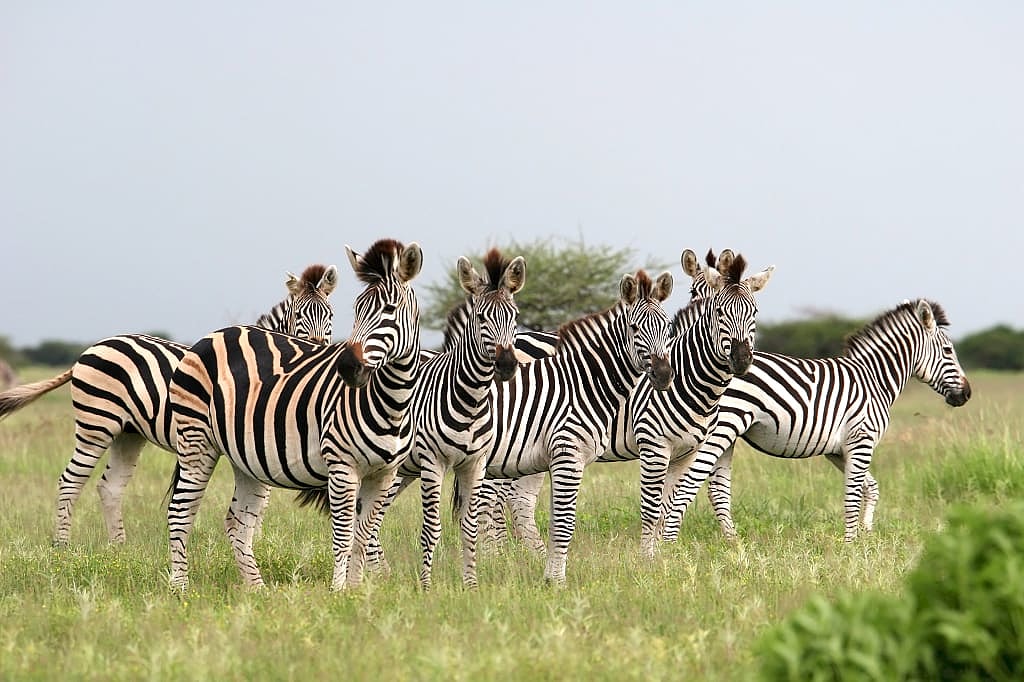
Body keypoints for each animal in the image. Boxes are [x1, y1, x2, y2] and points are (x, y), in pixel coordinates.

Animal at [0, 263, 338, 546]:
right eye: (299, 315)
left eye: (330, 316)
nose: (318, 345)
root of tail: (92, 348)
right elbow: (259, 501)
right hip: (96, 424)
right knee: (70, 481)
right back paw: (63, 548)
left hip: (128, 433)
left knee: (109, 486)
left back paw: (118, 550)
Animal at [166, 239, 422, 591]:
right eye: (357, 309)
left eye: (390, 310)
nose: (348, 367)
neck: (391, 401)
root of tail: (210, 336)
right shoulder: (342, 468)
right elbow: (343, 537)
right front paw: (339, 592)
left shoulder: (384, 474)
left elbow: (362, 537)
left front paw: (358, 592)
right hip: (196, 439)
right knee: (180, 513)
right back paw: (181, 590)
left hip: (246, 458)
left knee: (238, 521)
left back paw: (257, 591)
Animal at [479, 249, 775, 558]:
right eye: (718, 312)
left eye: (754, 313)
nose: (741, 359)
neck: (690, 376)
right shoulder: (654, 444)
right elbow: (652, 508)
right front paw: (647, 558)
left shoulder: (687, 450)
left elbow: (668, 506)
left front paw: (662, 556)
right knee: (492, 496)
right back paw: (494, 555)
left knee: (518, 499)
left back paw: (529, 555)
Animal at [662, 298, 972, 543]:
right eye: (948, 351)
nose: (967, 394)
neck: (874, 379)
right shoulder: (862, 441)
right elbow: (852, 497)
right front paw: (850, 547)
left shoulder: (838, 450)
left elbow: (870, 489)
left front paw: (866, 532)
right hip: (717, 432)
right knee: (685, 486)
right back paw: (670, 546)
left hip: (726, 434)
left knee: (716, 491)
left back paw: (732, 544)